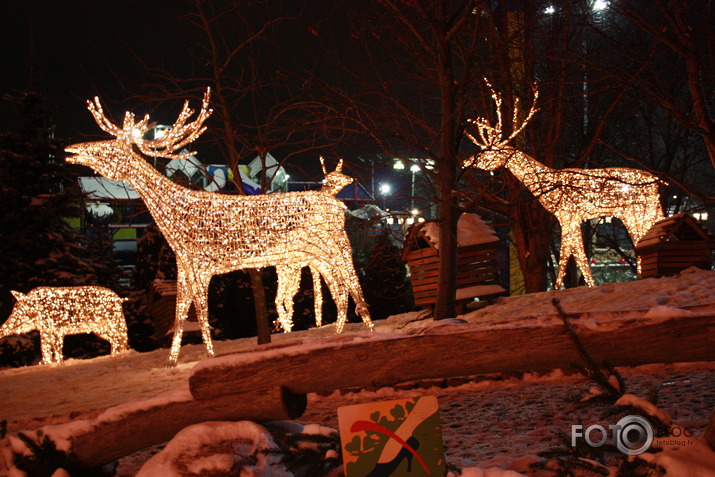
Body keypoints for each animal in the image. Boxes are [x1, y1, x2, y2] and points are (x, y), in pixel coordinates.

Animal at [65, 89, 374, 364]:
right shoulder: (184, 266)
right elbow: (179, 316)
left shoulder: (202, 266)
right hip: (315, 257)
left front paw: (210, 355)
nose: (71, 150)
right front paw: (172, 361)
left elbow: (202, 314)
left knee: (353, 283)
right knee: (339, 290)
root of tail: (337, 203)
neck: (173, 221)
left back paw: (369, 331)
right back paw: (337, 332)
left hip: (335, 247)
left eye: (105, 148)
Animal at [464, 82, 664, 288]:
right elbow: (573, 255)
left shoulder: (568, 215)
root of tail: (657, 182)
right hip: (644, 211)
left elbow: (570, 256)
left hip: (637, 212)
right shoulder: (570, 219)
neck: (547, 185)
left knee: (642, 240)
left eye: (489, 152)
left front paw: (565, 287)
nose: (466, 161)